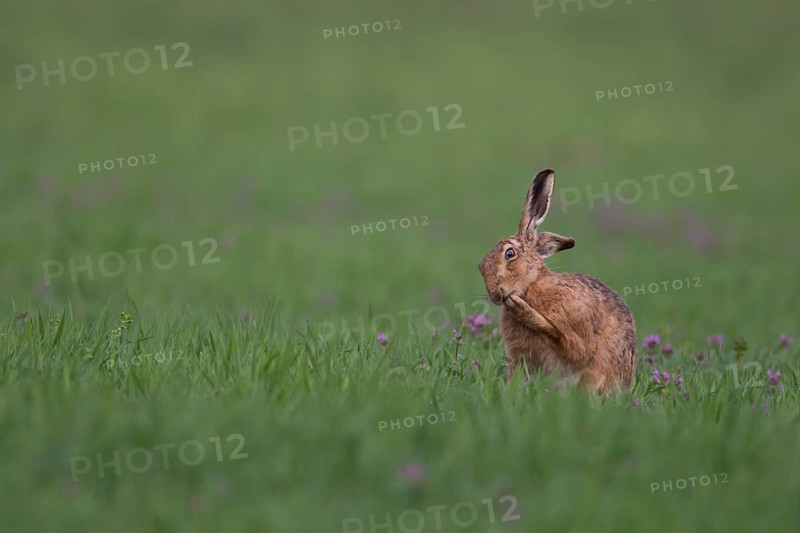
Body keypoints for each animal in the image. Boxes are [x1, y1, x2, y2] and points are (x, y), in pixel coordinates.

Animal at [478, 169, 637, 393]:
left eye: (510, 254)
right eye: (480, 266)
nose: (495, 294)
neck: (532, 286)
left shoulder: (577, 333)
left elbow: (569, 343)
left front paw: (522, 310)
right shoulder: (519, 361)